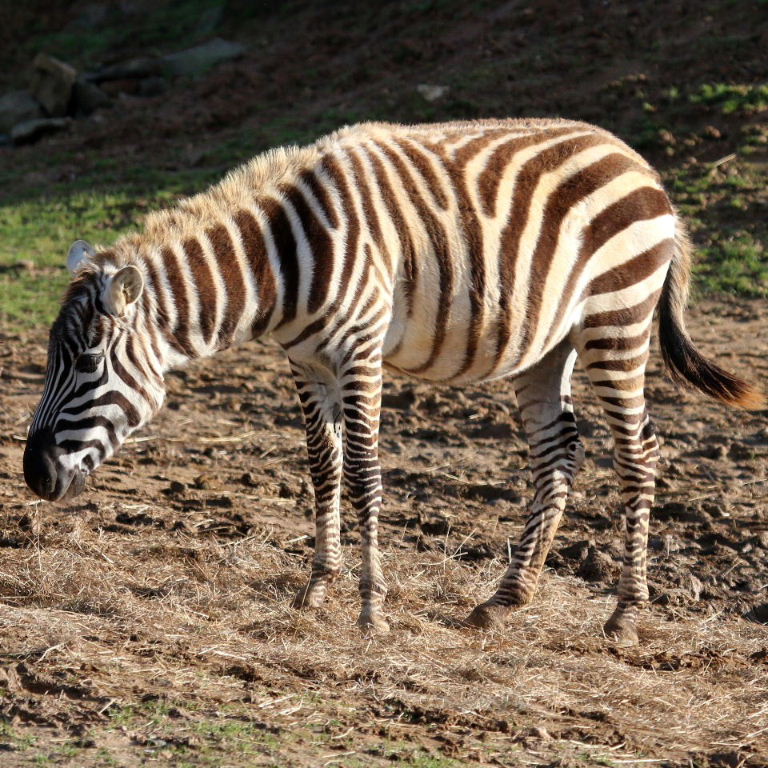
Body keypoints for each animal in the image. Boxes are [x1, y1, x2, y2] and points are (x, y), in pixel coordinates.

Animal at [24, 118, 762, 644]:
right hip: (547, 345)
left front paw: (370, 610)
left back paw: (624, 617)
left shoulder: (360, 352)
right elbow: (323, 469)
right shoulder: (306, 362)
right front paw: (317, 589)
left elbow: (364, 473)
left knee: (639, 454)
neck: (278, 262)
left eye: (87, 363)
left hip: (617, 321)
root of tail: (639, 162)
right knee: (558, 451)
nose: (33, 475)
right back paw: (503, 601)